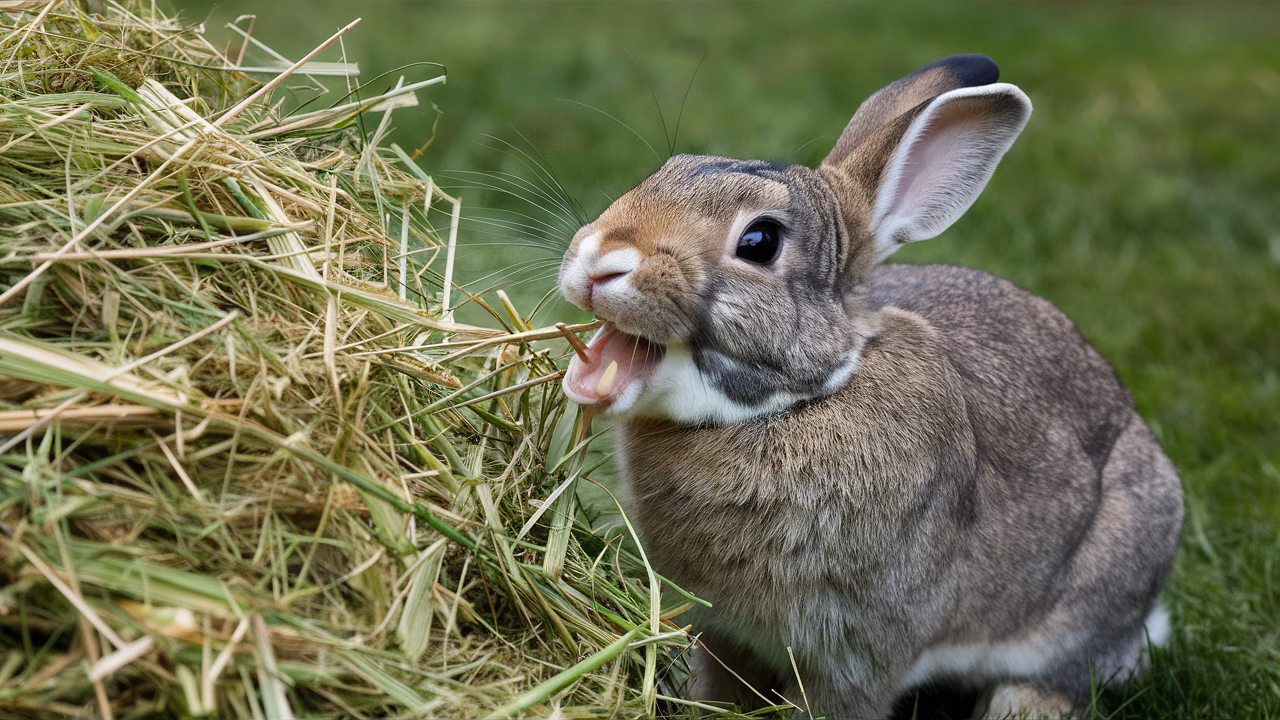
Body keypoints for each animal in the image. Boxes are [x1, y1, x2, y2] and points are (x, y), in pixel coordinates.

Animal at [557, 55, 1183, 719]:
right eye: (661, 174)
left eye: (759, 241)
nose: (598, 259)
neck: (799, 403)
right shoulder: (722, 632)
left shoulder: (859, 655)